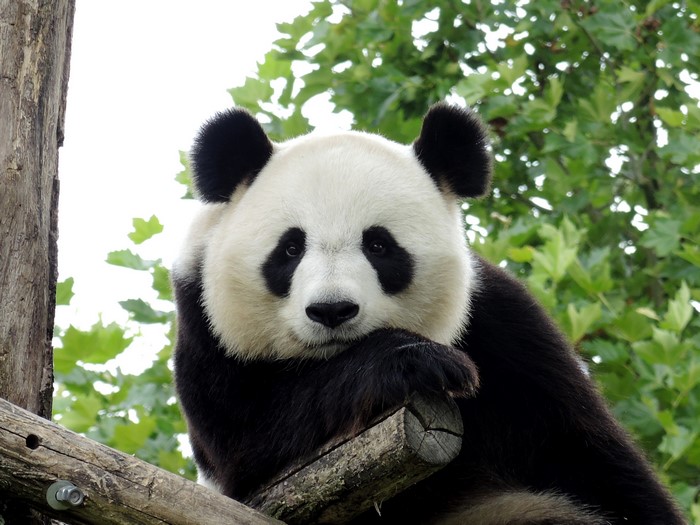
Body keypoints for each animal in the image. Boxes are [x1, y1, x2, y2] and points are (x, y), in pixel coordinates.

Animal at [172, 103, 685, 524]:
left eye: (379, 246)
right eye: (291, 248)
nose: (332, 310)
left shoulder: (506, 332)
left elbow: (587, 455)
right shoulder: (204, 325)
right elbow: (251, 435)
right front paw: (415, 361)